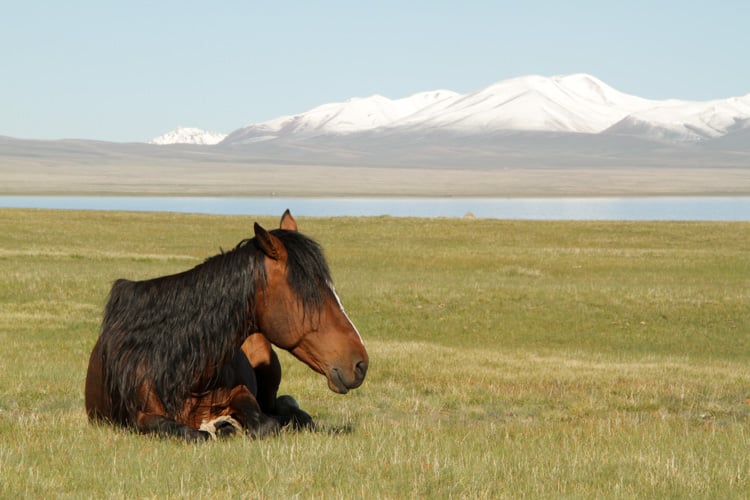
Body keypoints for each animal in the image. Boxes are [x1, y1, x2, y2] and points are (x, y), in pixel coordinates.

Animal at [83, 209, 368, 440]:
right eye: (313, 295)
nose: (360, 364)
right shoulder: (139, 417)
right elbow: (191, 433)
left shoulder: (243, 394)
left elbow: (265, 423)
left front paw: (228, 424)